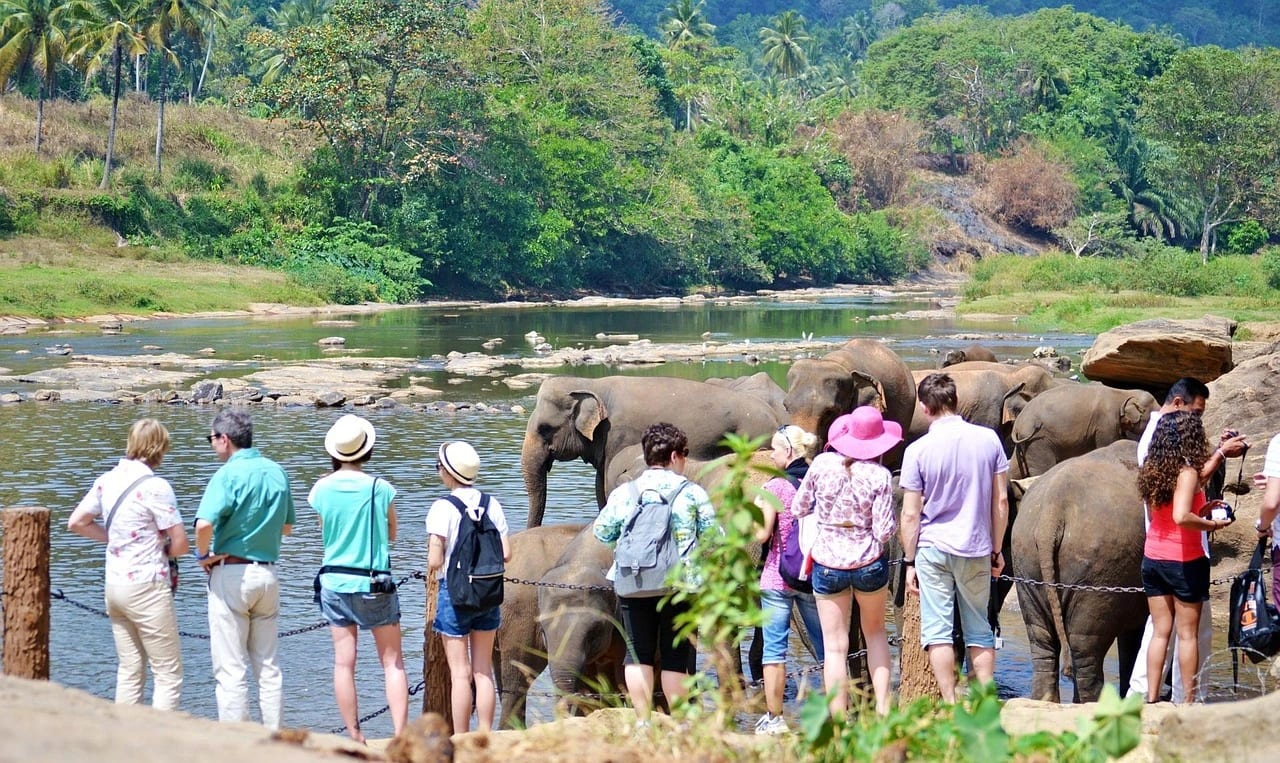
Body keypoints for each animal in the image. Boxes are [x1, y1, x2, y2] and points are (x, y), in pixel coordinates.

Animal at [522, 375, 783, 528]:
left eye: (545, 428)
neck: (591, 383)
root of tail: (775, 417)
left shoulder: (618, 434)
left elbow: (606, 484)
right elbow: (599, 486)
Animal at [1009, 385, 1158, 480]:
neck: (1123, 393)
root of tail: (1017, 424)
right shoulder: (1105, 423)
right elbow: (1106, 444)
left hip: (1024, 443)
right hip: (1037, 440)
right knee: (1041, 468)